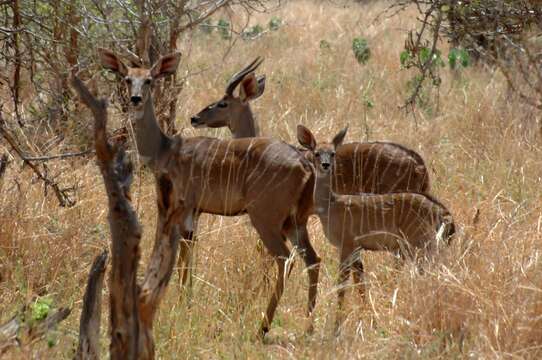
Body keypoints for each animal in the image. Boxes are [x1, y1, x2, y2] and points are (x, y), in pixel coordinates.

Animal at [99, 48, 320, 338]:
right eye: (127, 78)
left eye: (149, 79)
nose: (135, 99)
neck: (165, 148)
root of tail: (305, 164)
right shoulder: (196, 214)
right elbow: (189, 251)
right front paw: (186, 301)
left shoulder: (175, 208)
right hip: (295, 223)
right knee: (313, 260)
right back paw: (308, 326)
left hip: (266, 221)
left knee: (284, 259)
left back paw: (262, 327)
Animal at [300, 124, 456, 332]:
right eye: (317, 153)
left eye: (332, 153)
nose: (325, 165)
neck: (331, 204)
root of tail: (442, 213)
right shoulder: (355, 249)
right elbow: (358, 281)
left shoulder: (347, 245)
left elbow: (342, 284)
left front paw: (336, 327)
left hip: (420, 244)